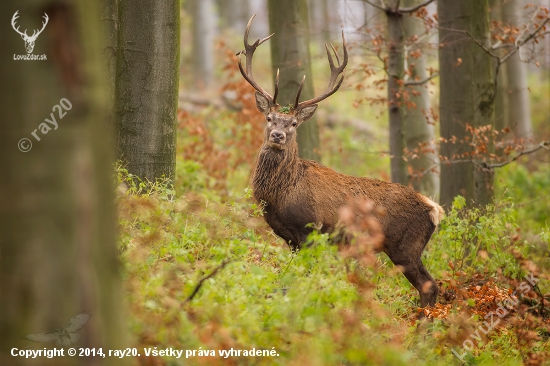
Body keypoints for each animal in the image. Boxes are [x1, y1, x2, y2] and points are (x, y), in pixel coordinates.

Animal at [239, 15, 446, 312]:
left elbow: (305, 276)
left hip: (405, 246)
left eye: (293, 123)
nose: (278, 135)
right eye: (269, 118)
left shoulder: (310, 230)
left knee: (430, 285)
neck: (282, 194)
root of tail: (434, 209)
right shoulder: (289, 237)